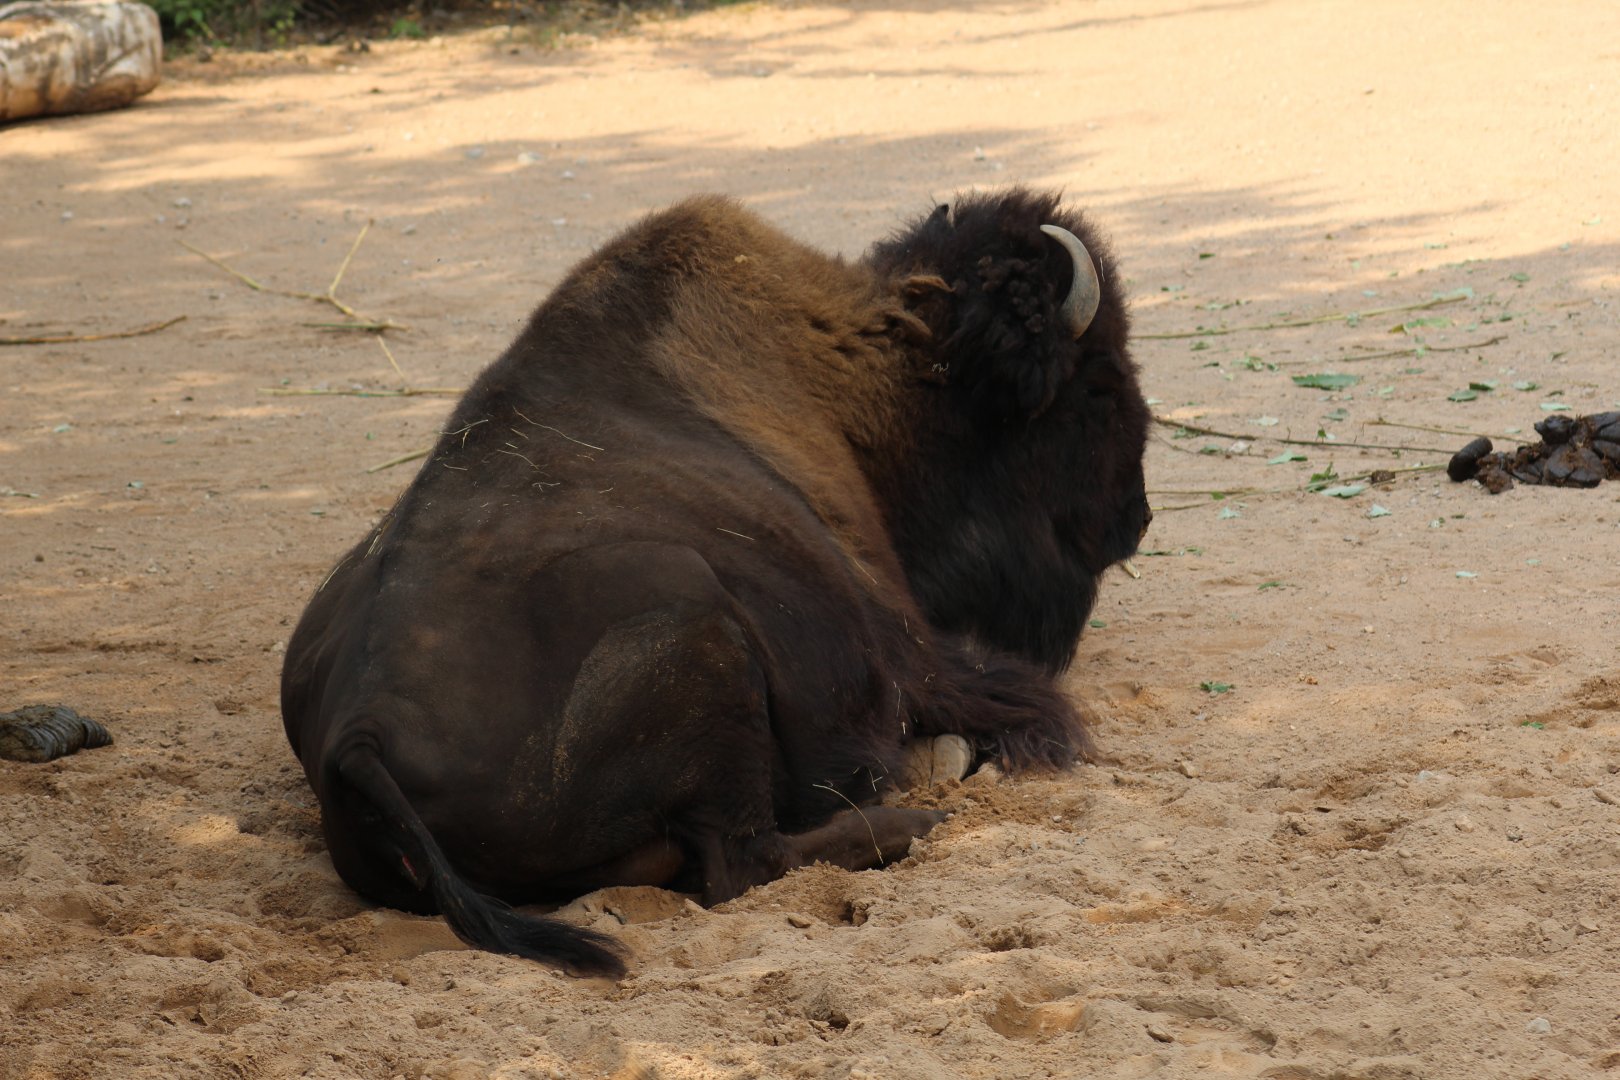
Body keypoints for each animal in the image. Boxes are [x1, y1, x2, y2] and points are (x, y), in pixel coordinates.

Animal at [281, 189, 1150, 976]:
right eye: (1097, 387)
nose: (1136, 519)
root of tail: (359, 733)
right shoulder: (914, 653)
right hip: (704, 636)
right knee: (745, 861)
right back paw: (917, 819)